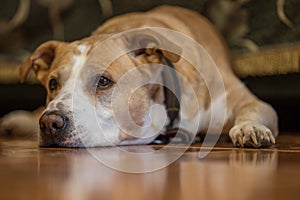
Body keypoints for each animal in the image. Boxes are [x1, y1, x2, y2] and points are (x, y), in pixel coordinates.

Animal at [0, 5, 278, 147]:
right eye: (53, 83)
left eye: (103, 81)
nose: (50, 123)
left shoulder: (245, 101)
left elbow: (254, 110)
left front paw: (250, 128)